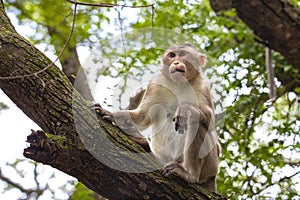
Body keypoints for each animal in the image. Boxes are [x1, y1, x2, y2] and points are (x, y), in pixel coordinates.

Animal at [96, 43, 220, 192]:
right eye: (172, 55)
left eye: (183, 54)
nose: (176, 62)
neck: (179, 83)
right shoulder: (157, 83)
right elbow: (142, 116)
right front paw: (111, 114)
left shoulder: (202, 84)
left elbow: (210, 122)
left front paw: (185, 109)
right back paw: (142, 142)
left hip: (210, 165)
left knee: (196, 123)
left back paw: (189, 174)